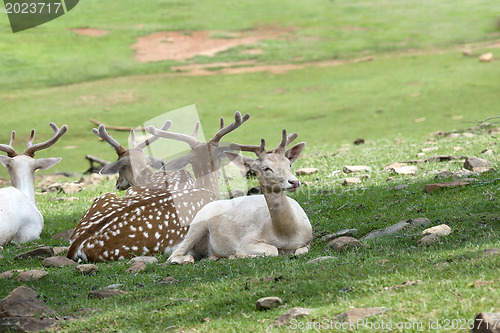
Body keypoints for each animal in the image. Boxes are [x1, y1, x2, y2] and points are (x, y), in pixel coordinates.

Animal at [168, 128, 312, 264]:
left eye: (289, 164)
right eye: (266, 168)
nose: (294, 182)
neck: (287, 235)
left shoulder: (307, 241)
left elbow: (301, 250)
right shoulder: (247, 240)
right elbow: (272, 250)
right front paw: (237, 255)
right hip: (196, 225)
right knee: (174, 254)